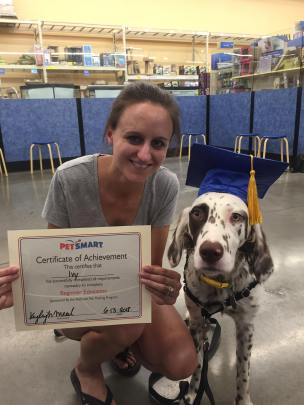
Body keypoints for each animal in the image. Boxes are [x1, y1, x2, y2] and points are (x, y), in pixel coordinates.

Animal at [167, 190, 274, 404]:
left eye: (236, 217)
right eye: (197, 213)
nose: (210, 251)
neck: (219, 284)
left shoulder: (246, 326)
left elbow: (243, 372)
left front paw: (243, 400)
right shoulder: (197, 322)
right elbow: (198, 364)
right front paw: (193, 393)